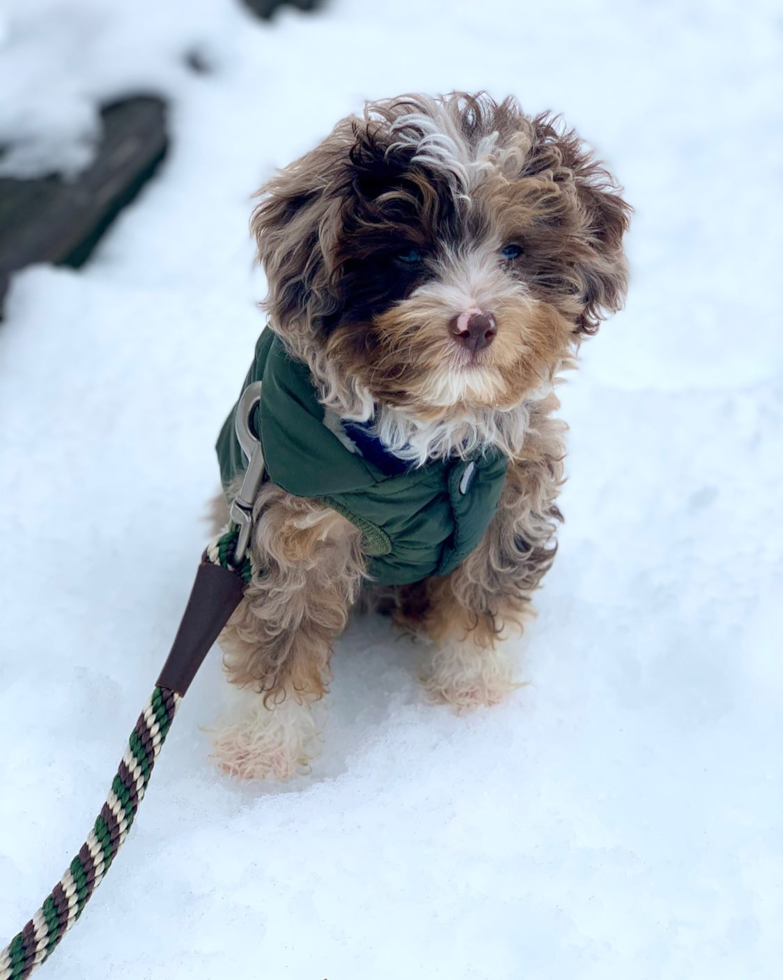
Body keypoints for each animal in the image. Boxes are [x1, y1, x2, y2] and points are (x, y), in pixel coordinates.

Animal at [210, 94, 632, 780]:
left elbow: (484, 595)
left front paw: (473, 685)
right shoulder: (296, 522)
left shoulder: (508, 497)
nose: (476, 323)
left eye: (513, 251)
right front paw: (262, 747)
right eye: (409, 255)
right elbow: (282, 631)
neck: (433, 426)